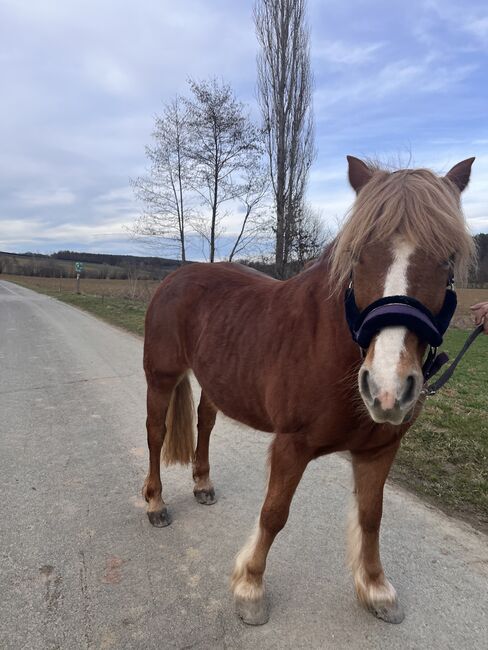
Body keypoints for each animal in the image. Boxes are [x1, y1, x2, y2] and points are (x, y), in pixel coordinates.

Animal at [142, 156, 476, 624]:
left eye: (447, 260)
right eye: (357, 256)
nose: (387, 389)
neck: (333, 348)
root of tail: (174, 279)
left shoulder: (379, 450)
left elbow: (371, 515)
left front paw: (376, 588)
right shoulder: (291, 445)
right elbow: (274, 513)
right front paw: (250, 588)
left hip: (215, 382)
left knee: (204, 425)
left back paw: (203, 484)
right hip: (161, 377)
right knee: (155, 435)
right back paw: (155, 504)